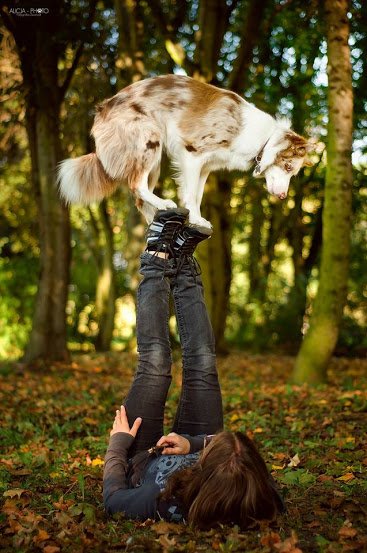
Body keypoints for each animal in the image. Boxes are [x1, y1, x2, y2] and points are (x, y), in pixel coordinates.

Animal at [58, 74, 314, 227]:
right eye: (287, 166)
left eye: (292, 172)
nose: (283, 196)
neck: (264, 138)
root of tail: (102, 109)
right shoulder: (193, 153)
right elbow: (190, 194)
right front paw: (196, 219)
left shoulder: (206, 167)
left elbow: (198, 195)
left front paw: (197, 217)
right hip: (149, 141)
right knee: (136, 184)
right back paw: (163, 204)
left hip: (155, 161)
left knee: (139, 197)